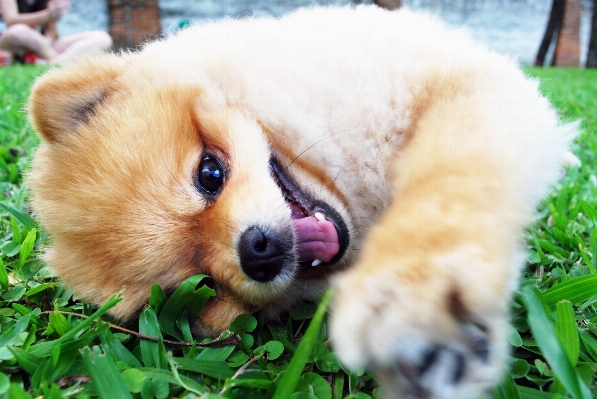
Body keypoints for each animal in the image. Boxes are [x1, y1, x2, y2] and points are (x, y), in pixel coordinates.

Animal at [29, 6, 572, 399]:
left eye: (210, 174)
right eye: (203, 285)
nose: (258, 252)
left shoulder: (461, 86)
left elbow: (448, 178)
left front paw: (414, 292)